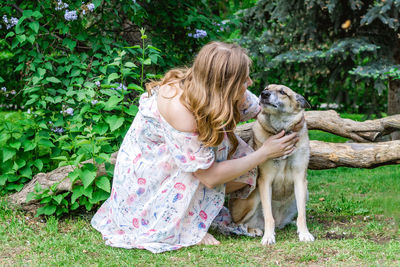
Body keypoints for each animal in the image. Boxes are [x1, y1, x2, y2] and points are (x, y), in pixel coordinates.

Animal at [230, 85, 314, 246]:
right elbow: (269, 215)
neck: (281, 128)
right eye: (266, 88)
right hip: (254, 196)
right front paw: (268, 237)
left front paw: (304, 233)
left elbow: (302, 214)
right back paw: (252, 230)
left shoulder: (300, 179)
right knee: (237, 223)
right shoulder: (265, 181)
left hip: (305, 193)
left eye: (282, 92)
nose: (263, 94)